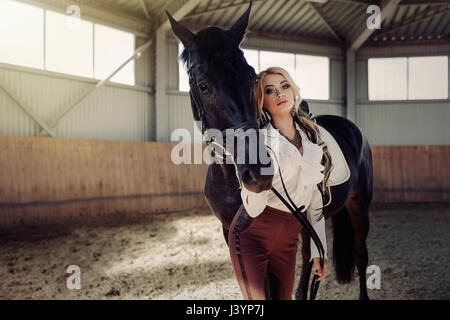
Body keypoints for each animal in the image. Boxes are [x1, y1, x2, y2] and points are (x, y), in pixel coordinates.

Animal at [168, 4, 372, 300]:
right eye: (204, 86)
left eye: (252, 78)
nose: (259, 173)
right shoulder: (230, 231)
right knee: (310, 255)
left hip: (359, 205)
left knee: (359, 254)